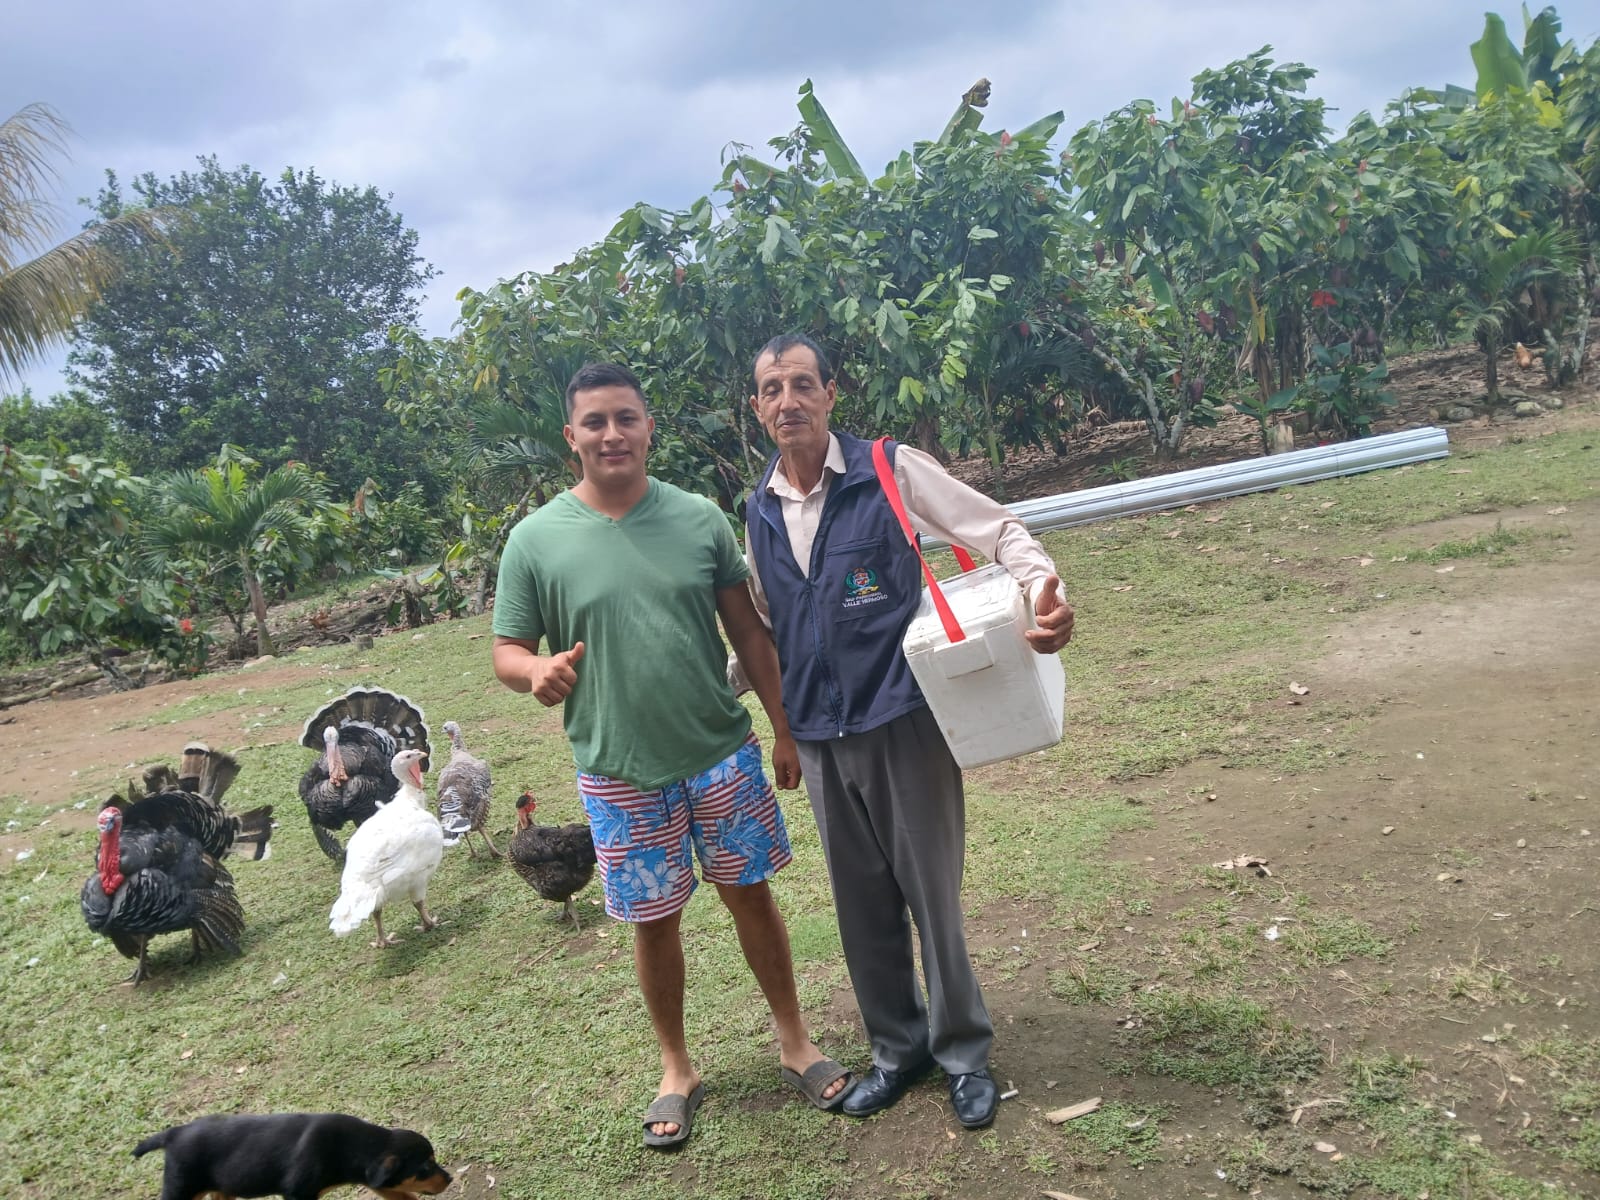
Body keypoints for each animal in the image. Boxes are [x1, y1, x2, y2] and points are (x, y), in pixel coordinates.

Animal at [132, 1112, 452, 1200]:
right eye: (425, 1167)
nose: (449, 1179)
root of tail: (172, 1135)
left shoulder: (378, 1182)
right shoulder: (298, 1193)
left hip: (222, 1188)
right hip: (180, 1189)